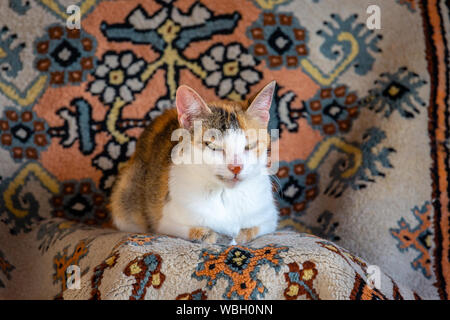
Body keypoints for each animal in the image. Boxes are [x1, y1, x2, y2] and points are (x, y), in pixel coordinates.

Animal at [110, 81, 278, 244]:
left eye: (250, 145)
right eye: (213, 146)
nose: (236, 167)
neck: (225, 194)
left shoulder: (269, 219)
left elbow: (251, 230)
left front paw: (238, 235)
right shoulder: (167, 222)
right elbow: (200, 233)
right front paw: (216, 236)